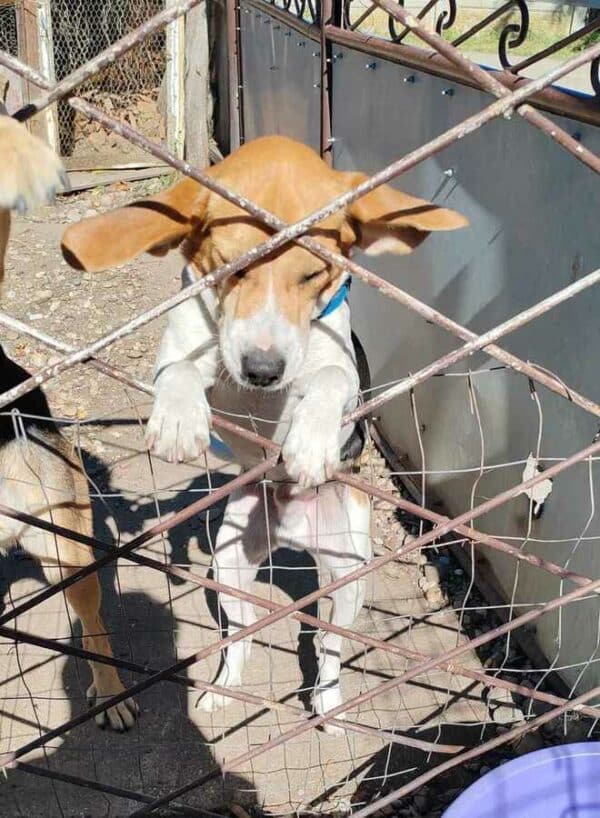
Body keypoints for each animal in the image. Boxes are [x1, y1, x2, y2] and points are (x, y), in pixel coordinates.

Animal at [63, 135, 468, 728]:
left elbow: (328, 379)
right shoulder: (182, 345)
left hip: (349, 575)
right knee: (243, 636)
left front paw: (310, 439)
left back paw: (329, 702)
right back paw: (223, 688)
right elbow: (179, 370)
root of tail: (290, 532)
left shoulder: (343, 373)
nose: (261, 371)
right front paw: (179, 417)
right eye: (230, 266)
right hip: (230, 562)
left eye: (314, 275)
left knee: (328, 645)